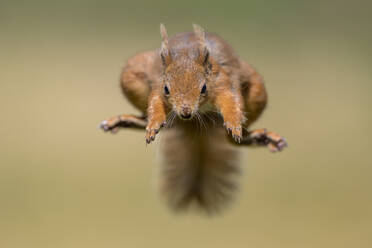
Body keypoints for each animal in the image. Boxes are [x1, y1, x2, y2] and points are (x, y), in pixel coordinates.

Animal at [99, 23, 288, 213]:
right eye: (167, 88)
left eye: (203, 88)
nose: (185, 112)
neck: (186, 55)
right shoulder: (157, 84)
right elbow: (154, 104)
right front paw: (153, 124)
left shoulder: (223, 82)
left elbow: (231, 102)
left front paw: (234, 124)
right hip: (131, 73)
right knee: (146, 117)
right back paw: (129, 121)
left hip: (257, 90)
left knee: (234, 139)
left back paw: (258, 136)